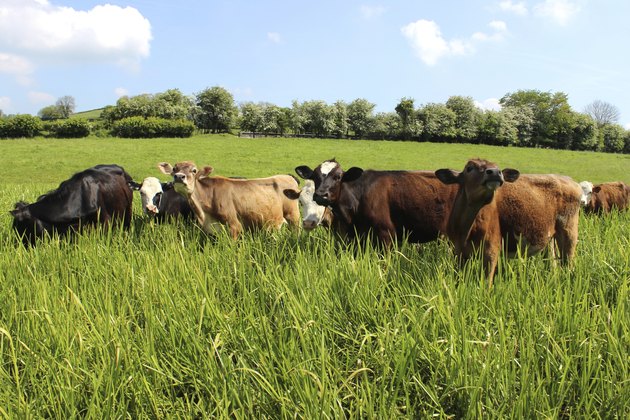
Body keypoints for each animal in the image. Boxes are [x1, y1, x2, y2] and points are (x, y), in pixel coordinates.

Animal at [160, 161, 304, 238]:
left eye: (194, 170)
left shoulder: (234, 226)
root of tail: (288, 176)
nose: (179, 177)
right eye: (174, 169)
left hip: (294, 217)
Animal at [440, 159, 584, 288]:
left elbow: (486, 283)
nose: (495, 172)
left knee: (568, 264)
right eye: (469, 168)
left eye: (497, 166)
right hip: (549, 238)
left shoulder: (491, 249)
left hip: (569, 232)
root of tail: (568, 179)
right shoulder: (458, 251)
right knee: (552, 263)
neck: (466, 230)